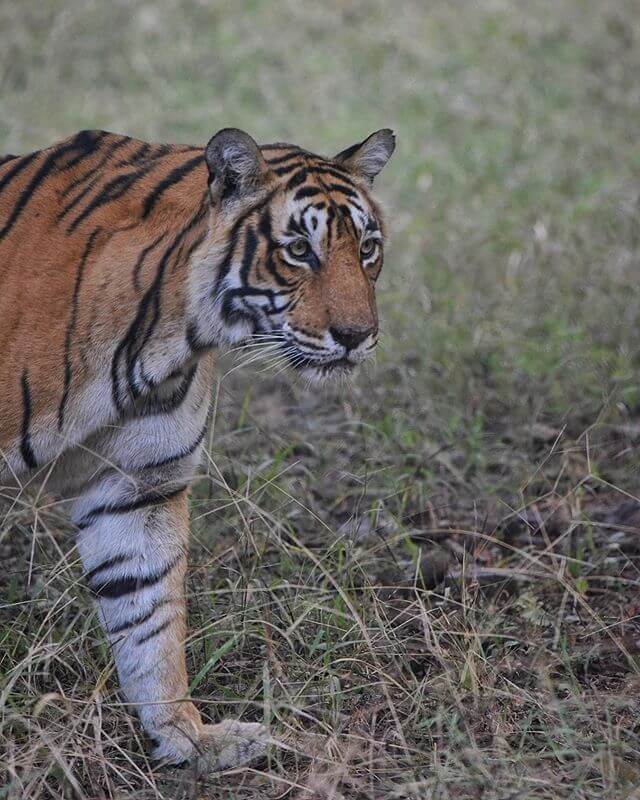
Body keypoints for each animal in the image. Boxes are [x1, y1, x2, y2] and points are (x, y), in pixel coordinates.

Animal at [0, 126, 396, 776]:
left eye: (367, 248)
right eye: (298, 250)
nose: (358, 336)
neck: (167, 334)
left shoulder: (136, 484)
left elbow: (148, 618)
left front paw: (186, 738)